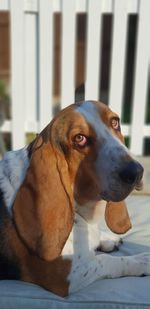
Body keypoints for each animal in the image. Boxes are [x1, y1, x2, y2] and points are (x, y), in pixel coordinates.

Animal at [0, 100, 150, 296]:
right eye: (79, 139)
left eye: (115, 122)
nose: (136, 171)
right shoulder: (68, 275)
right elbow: (108, 261)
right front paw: (142, 260)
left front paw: (107, 239)